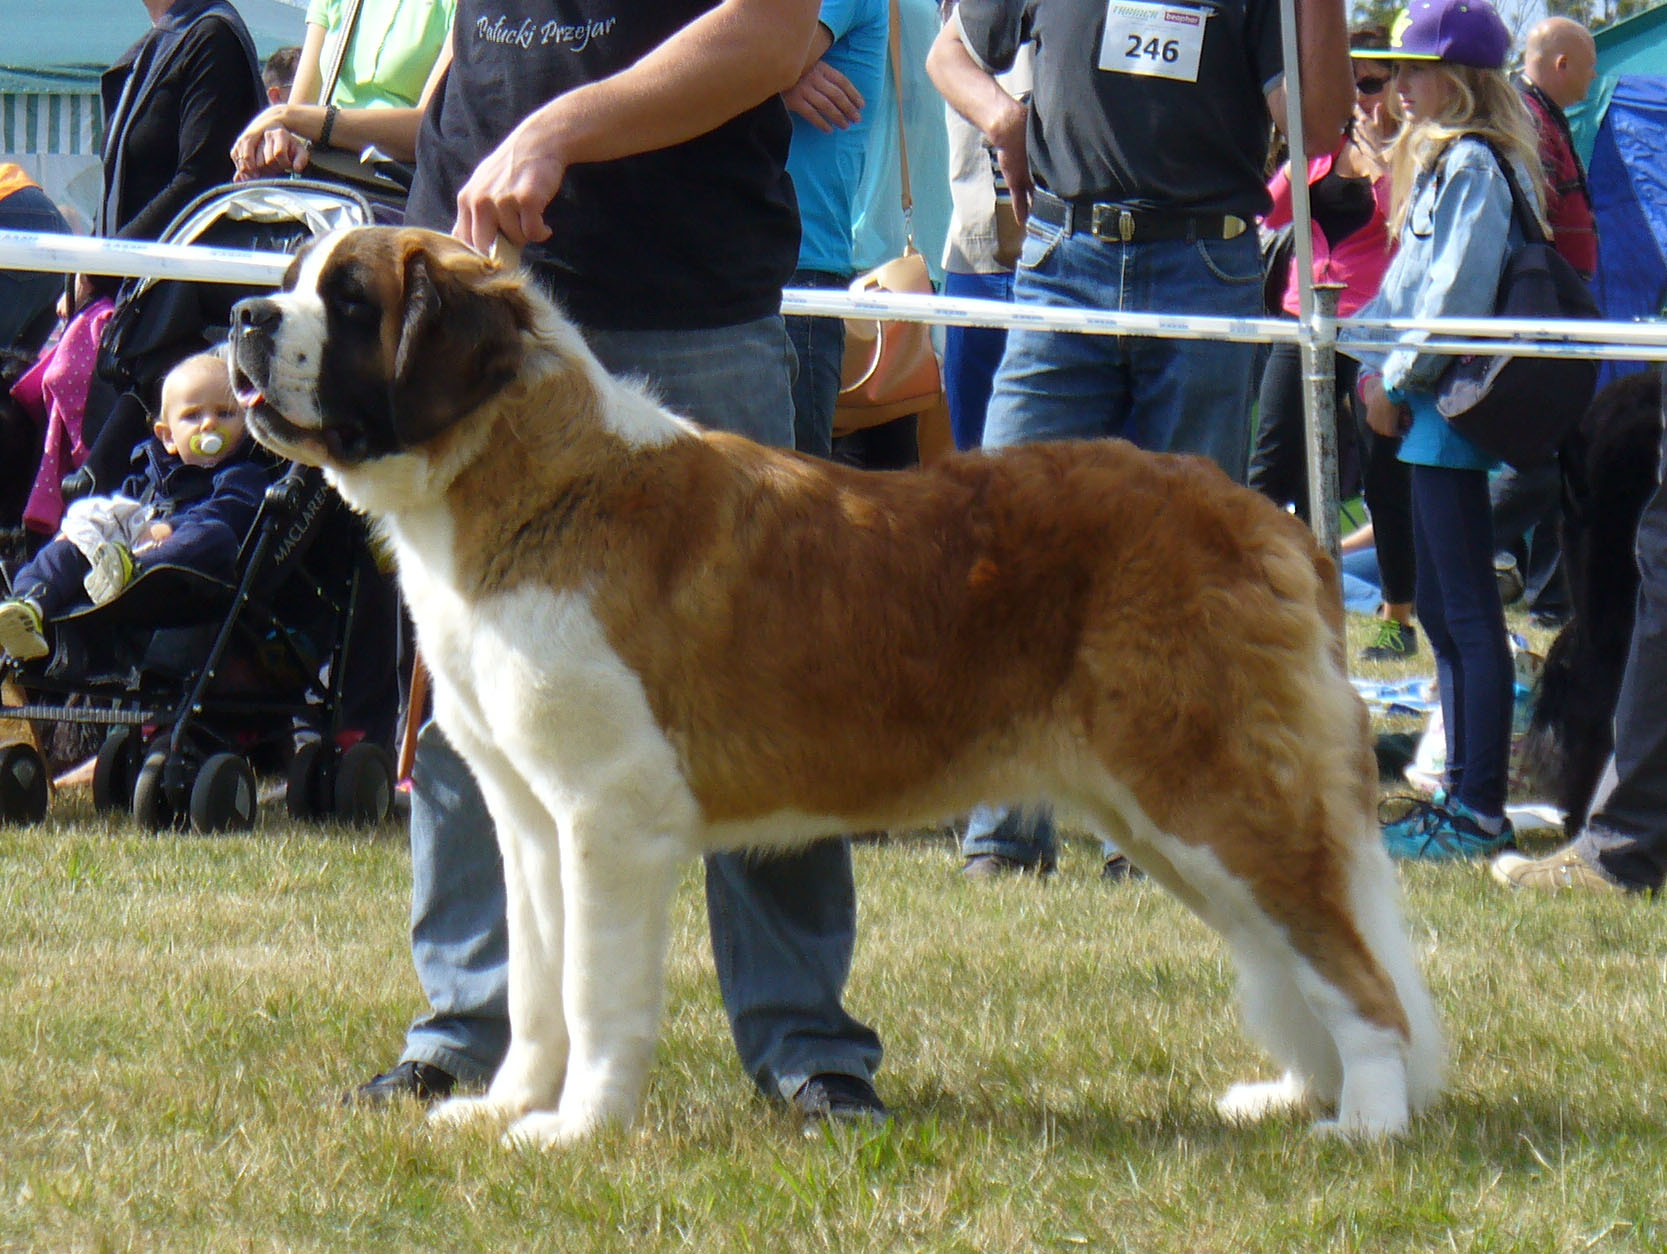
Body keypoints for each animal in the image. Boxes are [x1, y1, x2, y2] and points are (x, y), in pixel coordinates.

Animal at [228, 225, 1443, 1145]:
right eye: (293, 279)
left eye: (347, 301)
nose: (242, 317)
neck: (524, 475)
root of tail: (1268, 521)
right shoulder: (529, 821)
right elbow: (532, 989)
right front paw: (504, 1109)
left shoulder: (607, 819)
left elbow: (592, 990)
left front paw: (575, 1131)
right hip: (1170, 822)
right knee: (1286, 951)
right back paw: (1292, 1096)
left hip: (1214, 798)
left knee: (1349, 968)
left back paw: (1366, 1125)